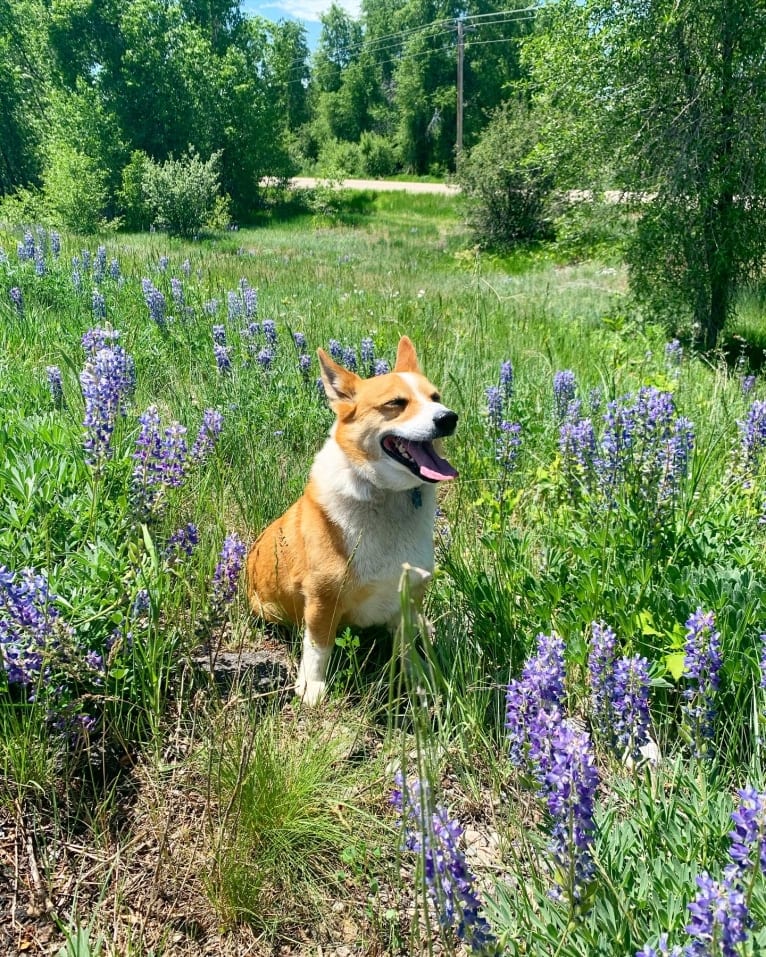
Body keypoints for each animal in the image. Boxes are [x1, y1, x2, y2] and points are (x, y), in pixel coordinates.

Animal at [249, 336, 460, 704]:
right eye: (396, 403)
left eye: (435, 397)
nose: (449, 418)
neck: (388, 496)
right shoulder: (323, 596)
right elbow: (318, 646)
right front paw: (311, 687)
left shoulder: (409, 594)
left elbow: (407, 648)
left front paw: (419, 682)